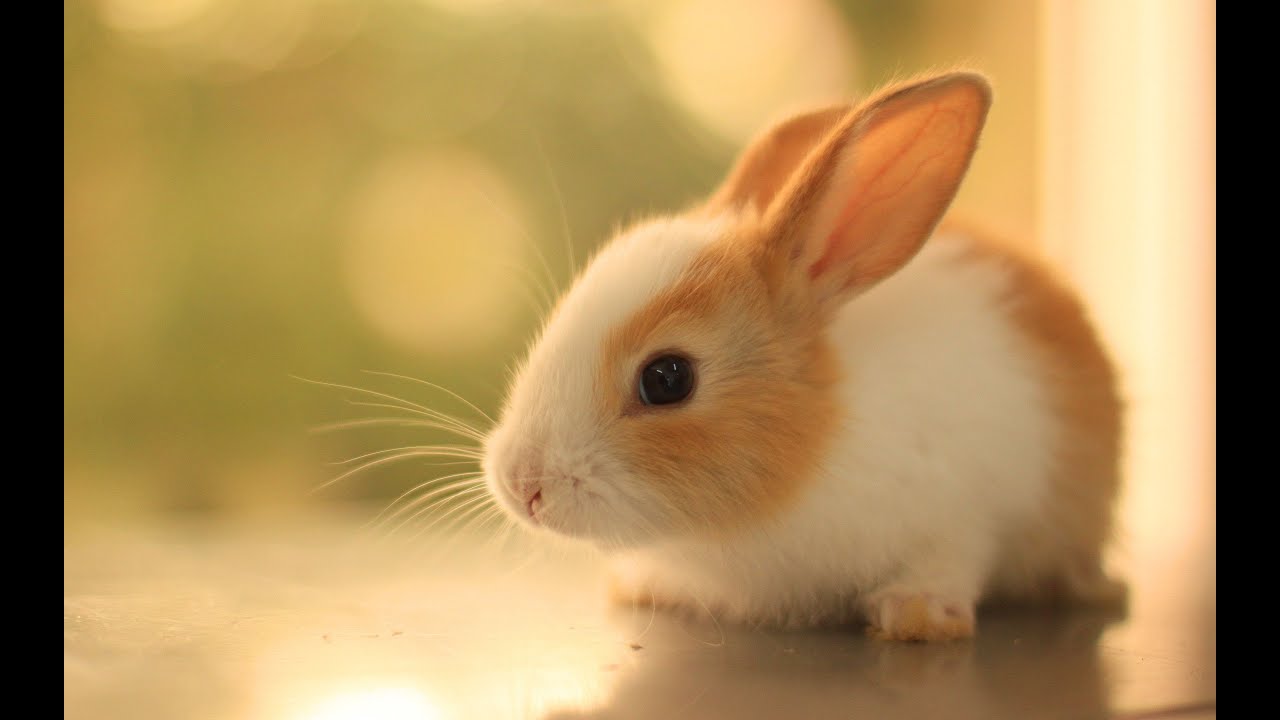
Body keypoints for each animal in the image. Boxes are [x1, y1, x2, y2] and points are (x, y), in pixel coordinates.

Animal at [482, 71, 1125, 641]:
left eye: (667, 379)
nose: (523, 484)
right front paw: (642, 586)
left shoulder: (963, 513)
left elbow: (948, 561)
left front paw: (916, 615)